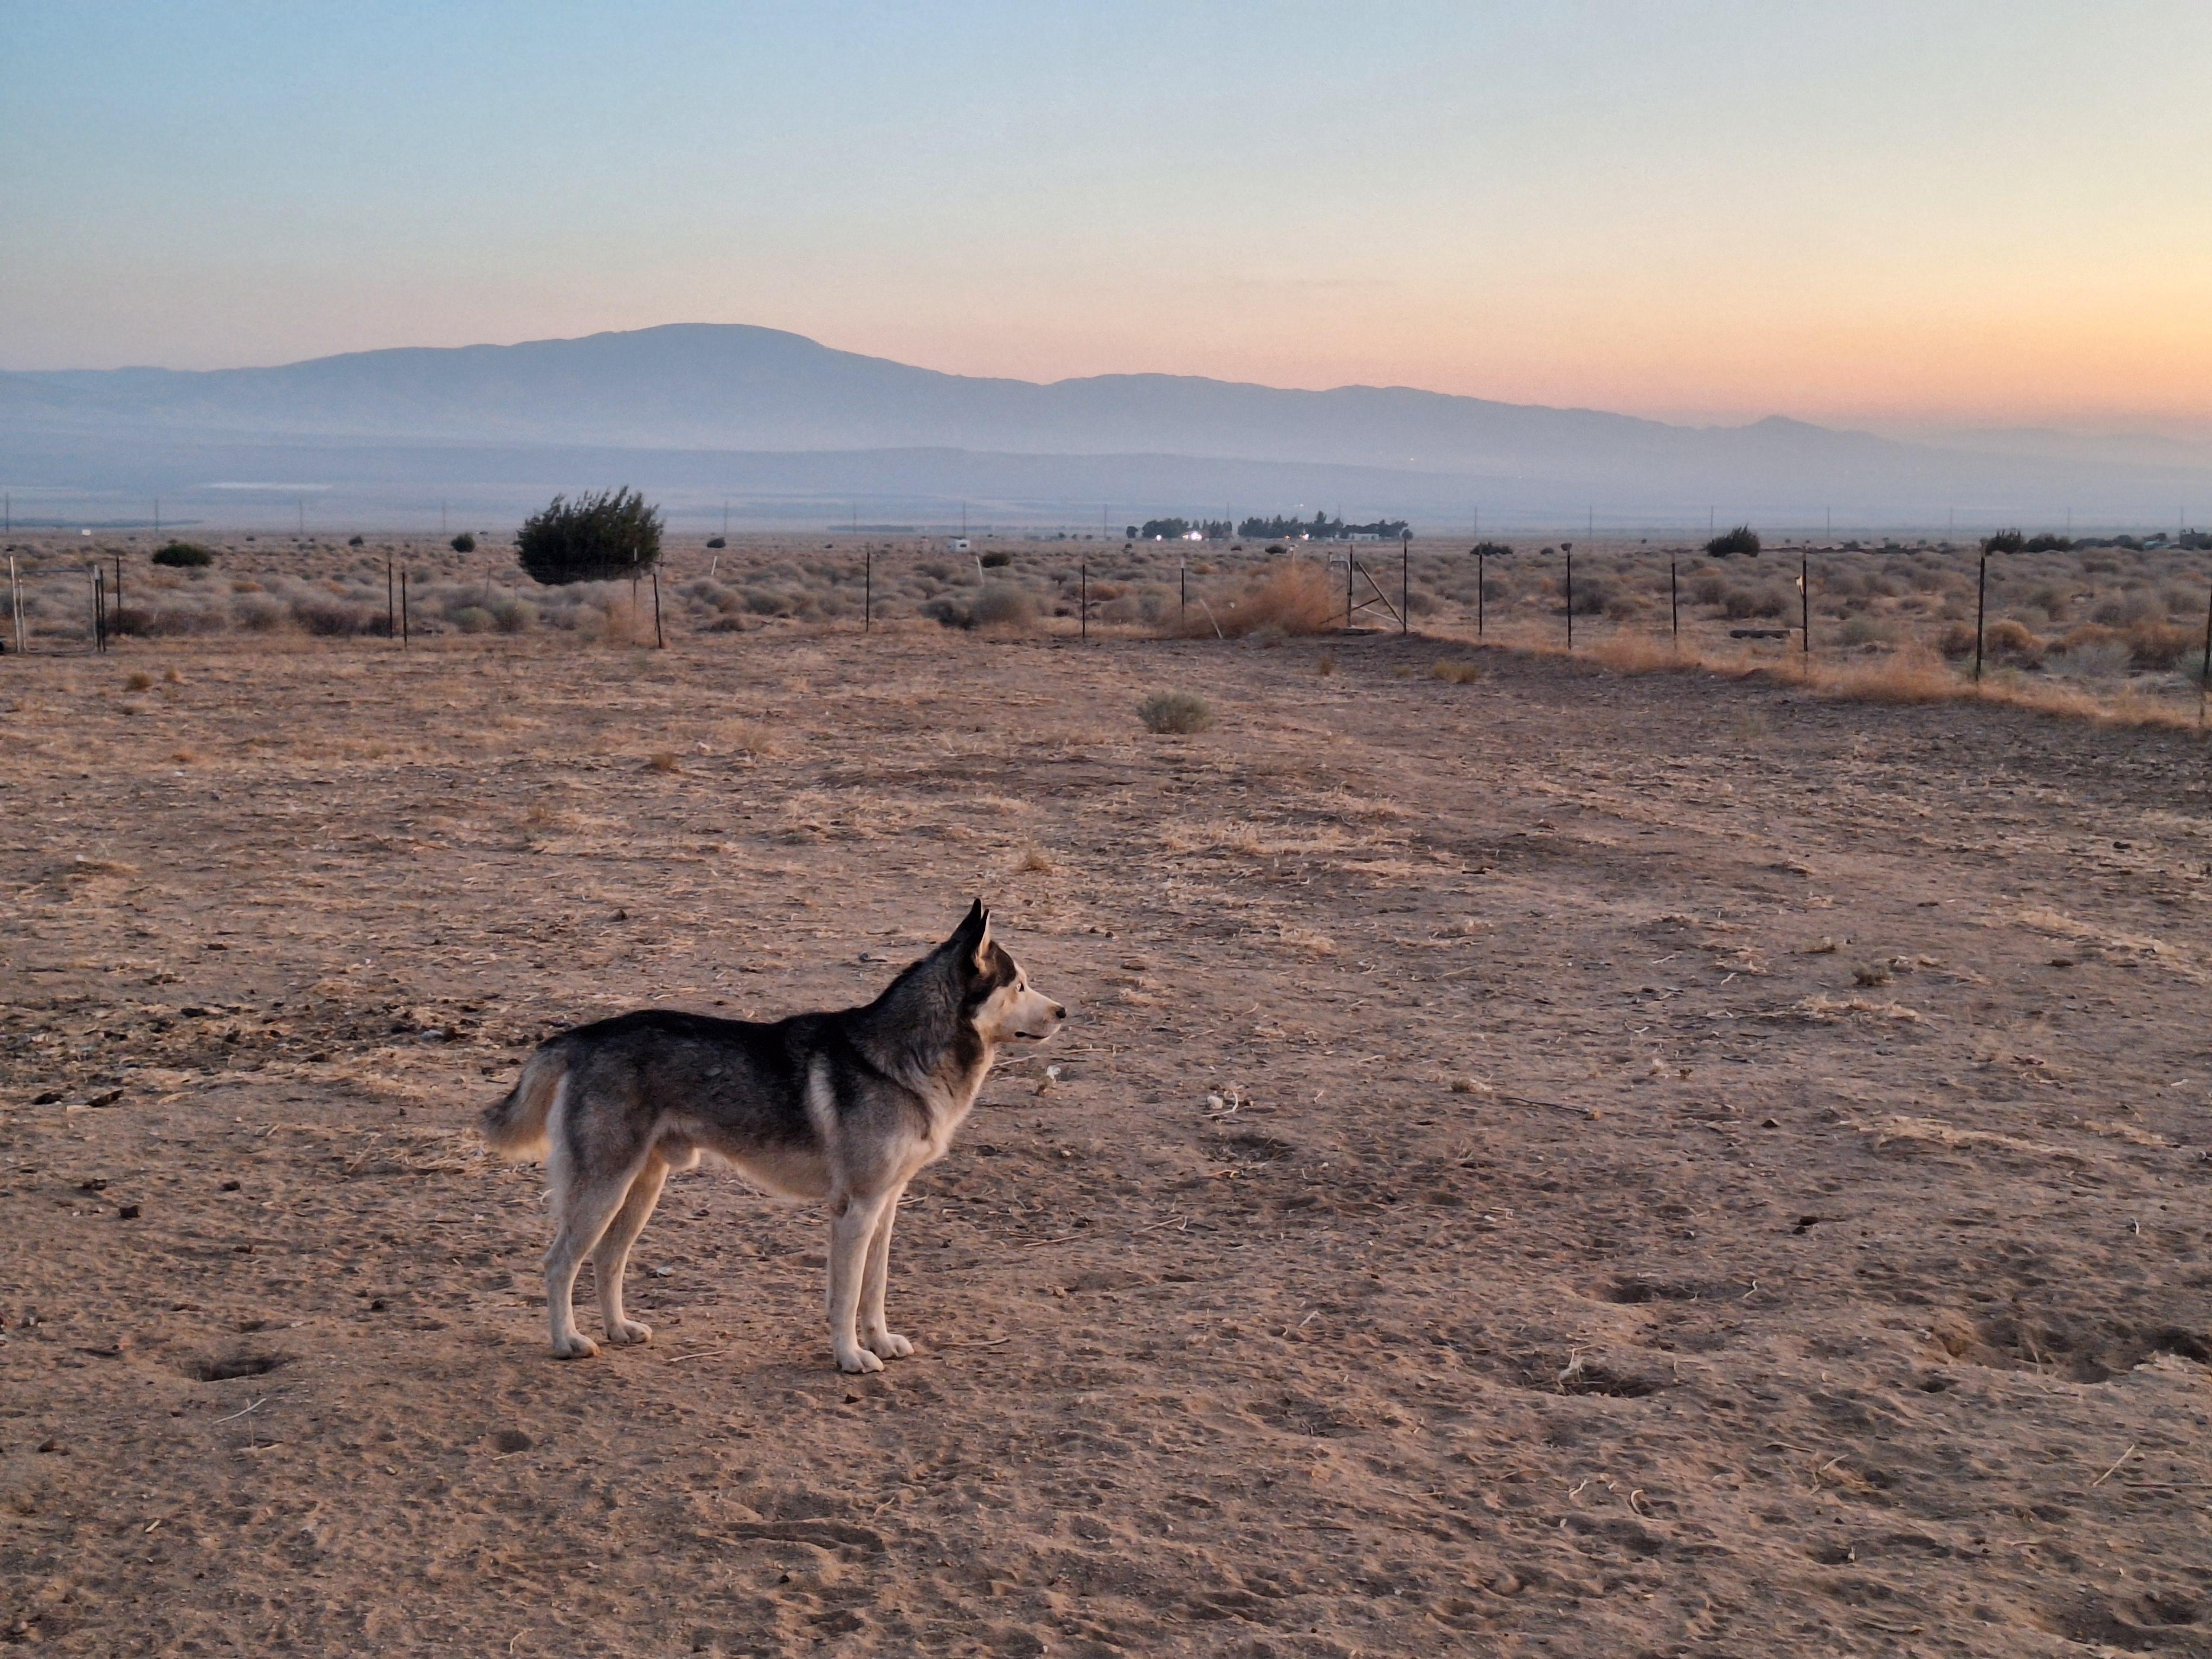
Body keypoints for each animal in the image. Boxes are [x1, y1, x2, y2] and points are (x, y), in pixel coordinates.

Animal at [481, 901, 1065, 1372]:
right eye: (1020, 985)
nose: (1064, 1011)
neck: (898, 1060)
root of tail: (581, 1037)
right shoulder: (856, 1210)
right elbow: (846, 1297)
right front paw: (851, 1357)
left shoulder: (886, 1206)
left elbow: (874, 1289)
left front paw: (879, 1341)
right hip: (604, 1192)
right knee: (560, 1264)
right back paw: (568, 1342)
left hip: (640, 1191)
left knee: (607, 1259)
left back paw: (619, 1329)